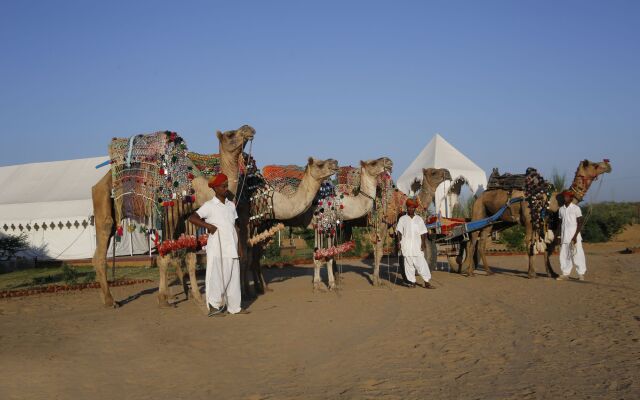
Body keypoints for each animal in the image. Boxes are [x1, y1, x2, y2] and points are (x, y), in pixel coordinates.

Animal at [90, 126, 255, 308]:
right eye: (231, 134)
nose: (249, 128)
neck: (195, 186)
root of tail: (98, 183)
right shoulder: (170, 214)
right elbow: (165, 256)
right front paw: (163, 299)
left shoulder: (187, 217)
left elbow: (189, 258)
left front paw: (197, 298)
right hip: (103, 203)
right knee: (101, 249)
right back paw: (110, 301)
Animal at [460, 159, 608, 278]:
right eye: (594, 165)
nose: (608, 165)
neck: (551, 199)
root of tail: (479, 196)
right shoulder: (529, 221)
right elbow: (530, 243)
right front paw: (532, 273)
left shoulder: (544, 223)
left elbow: (547, 248)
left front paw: (551, 273)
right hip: (478, 210)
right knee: (472, 238)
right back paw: (469, 272)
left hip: (490, 220)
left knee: (482, 242)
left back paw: (488, 271)